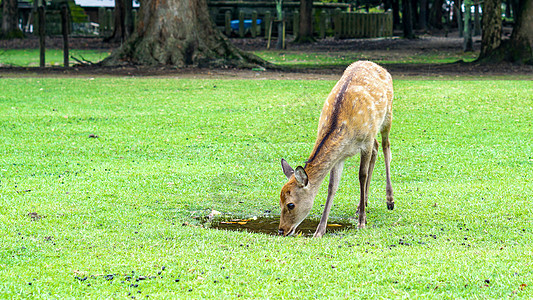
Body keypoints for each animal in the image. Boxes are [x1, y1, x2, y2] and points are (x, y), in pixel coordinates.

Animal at [278, 61, 394, 238]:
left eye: (291, 204)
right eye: (279, 201)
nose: (281, 230)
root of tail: (378, 66)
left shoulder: (365, 141)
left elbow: (362, 175)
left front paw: (361, 222)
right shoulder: (340, 156)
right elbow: (332, 186)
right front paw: (319, 231)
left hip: (387, 115)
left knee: (385, 147)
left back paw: (389, 200)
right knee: (376, 148)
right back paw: (363, 203)